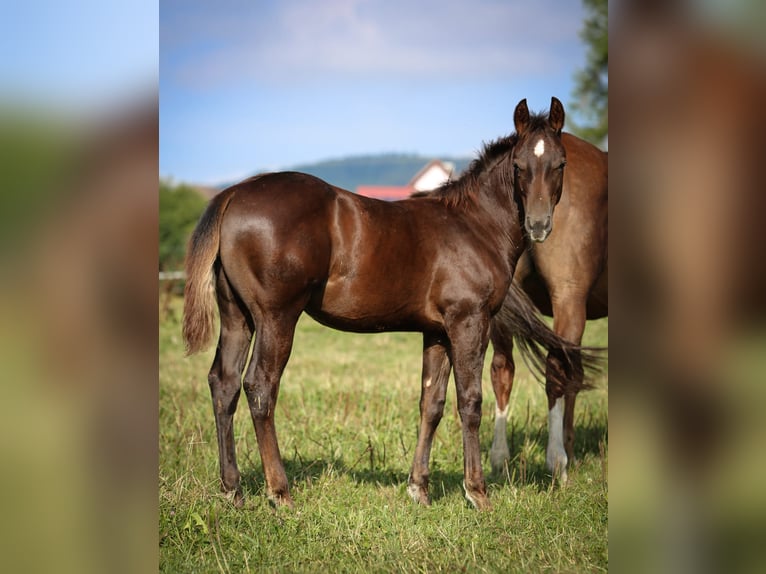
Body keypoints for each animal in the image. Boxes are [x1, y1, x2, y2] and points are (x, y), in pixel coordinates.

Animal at [184, 97, 584, 510]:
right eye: (519, 165)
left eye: (560, 163)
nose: (539, 225)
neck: (474, 225)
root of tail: (233, 194)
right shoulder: (469, 322)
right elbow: (470, 402)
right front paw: (477, 492)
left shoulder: (437, 332)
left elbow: (432, 403)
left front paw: (419, 488)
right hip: (276, 317)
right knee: (261, 387)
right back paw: (280, 492)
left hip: (238, 316)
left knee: (224, 383)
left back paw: (232, 489)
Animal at [488, 121, 608, 486]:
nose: (538, 222)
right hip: (568, 301)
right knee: (557, 371)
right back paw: (557, 461)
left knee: (503, 368)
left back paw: (500, 458)